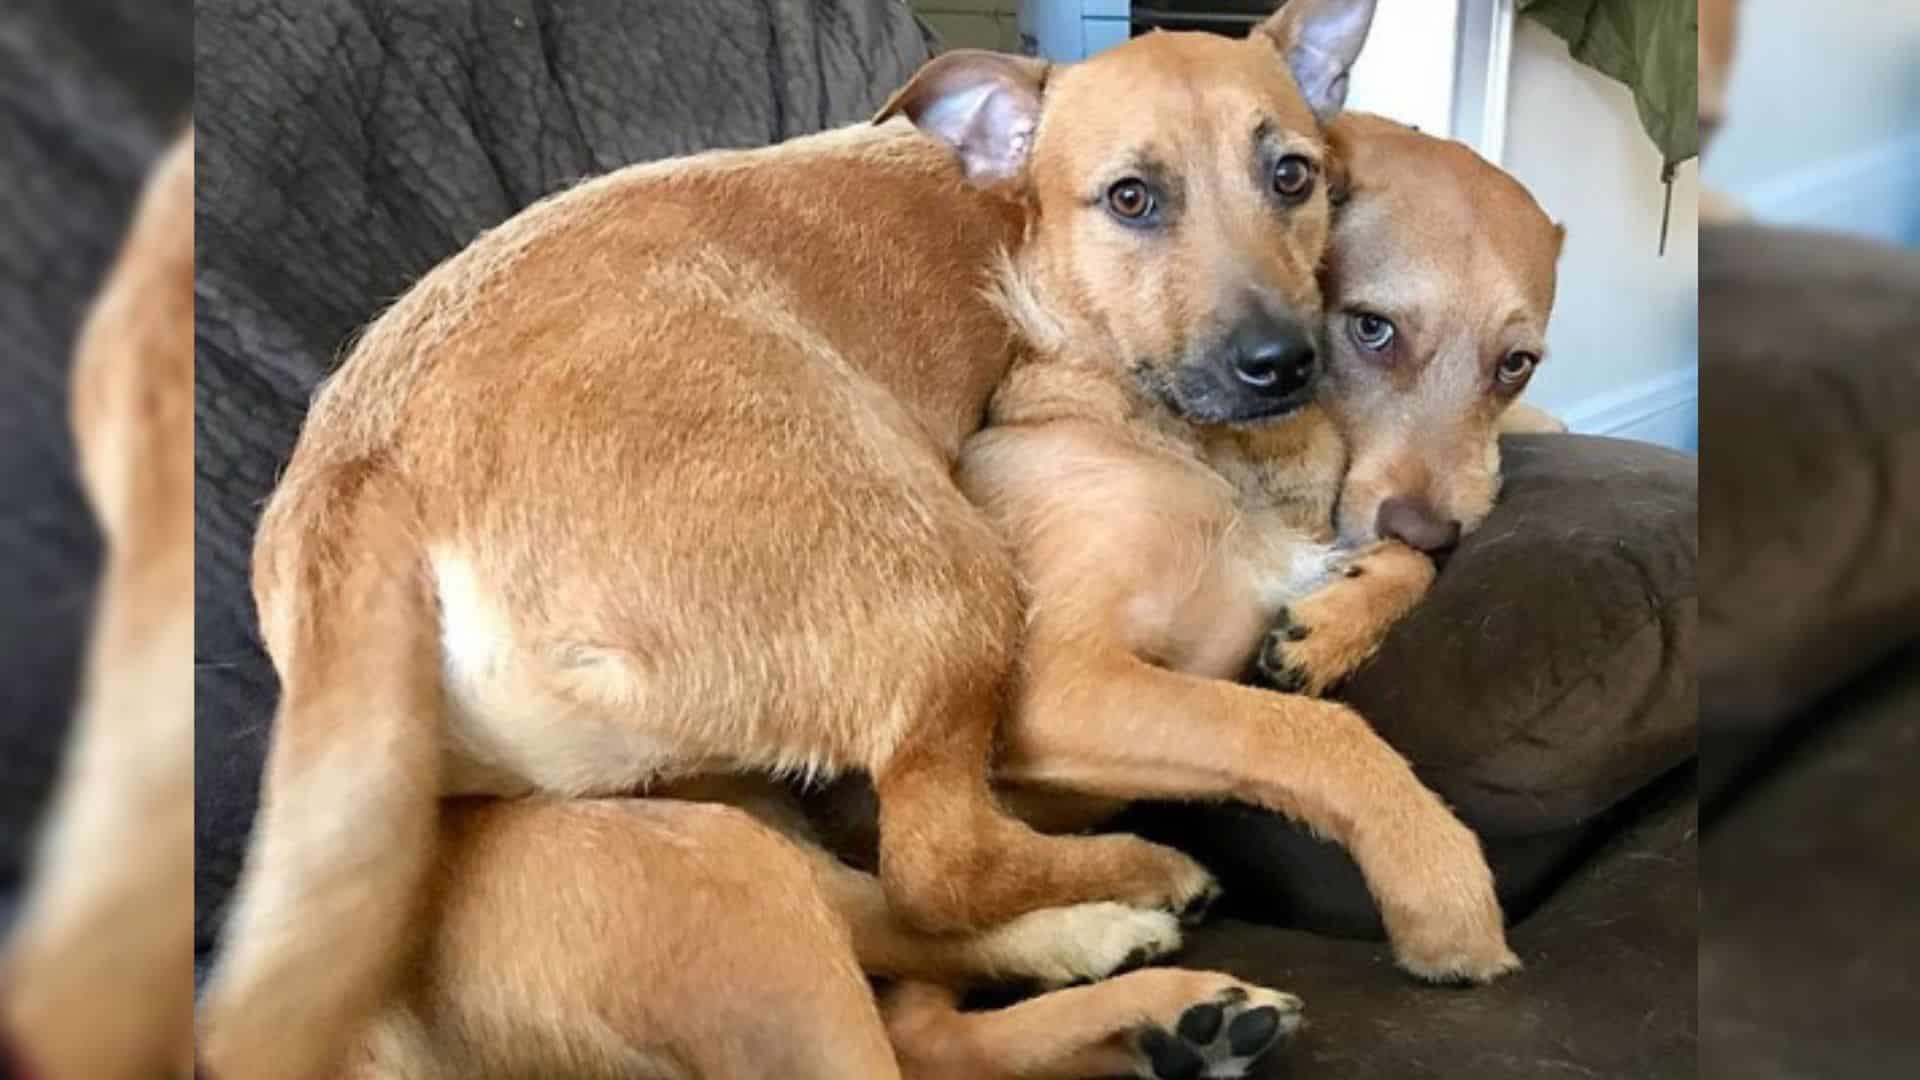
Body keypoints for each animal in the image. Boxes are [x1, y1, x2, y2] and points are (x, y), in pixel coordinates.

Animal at [202, 4, 1390, 1068]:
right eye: (1132, 200)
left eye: (1292, 177)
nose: (1282, 364)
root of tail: (362, 471)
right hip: (939, 589)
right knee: (936, 868)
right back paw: (1138, 880)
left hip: (702, 802)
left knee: (895, 933)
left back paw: (1110, 965)